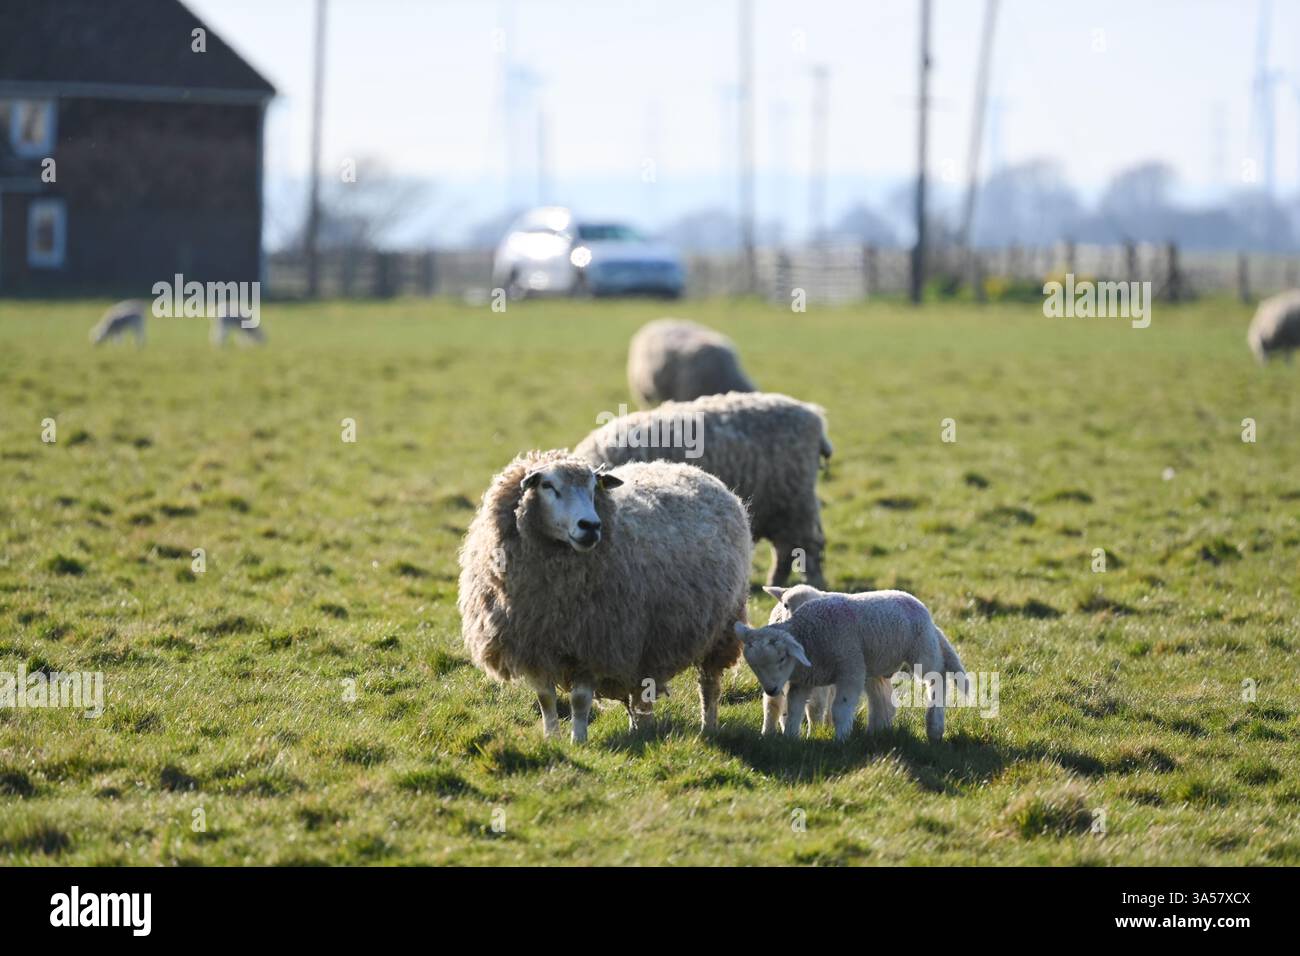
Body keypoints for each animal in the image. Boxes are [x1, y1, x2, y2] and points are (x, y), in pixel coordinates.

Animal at [458, 450, 752, 742]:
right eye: (548, 486)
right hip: (644, 645)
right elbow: (545, 699)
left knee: (709, 684)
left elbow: (579, 700)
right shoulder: (535, 646)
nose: (590, 525)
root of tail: (695, 471)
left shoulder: (594, 644)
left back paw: (708, 726)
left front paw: (578, 741)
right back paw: (639, 730)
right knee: (640, 690)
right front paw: (552, 740)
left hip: (721, 628)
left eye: (593, 488)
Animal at [574, 391, 832, 588]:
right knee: (787, 550)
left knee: (806, 548)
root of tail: (814, 416)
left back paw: (813, 584)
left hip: (796, 504)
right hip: (784, 509)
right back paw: (774, 583)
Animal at [734, 588, 967, 742]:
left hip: (923, 650)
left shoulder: (850, 669)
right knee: (880, 698)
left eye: (782, 658)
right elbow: (793, 709)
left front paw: (840, 740)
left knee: (937, 679)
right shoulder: (804, 681)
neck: (810, 635)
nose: (771, 689)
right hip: (875, 664)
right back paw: (877, 731)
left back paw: (934, 726)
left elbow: (839, 709)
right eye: (754, 666)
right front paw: (790, 739)